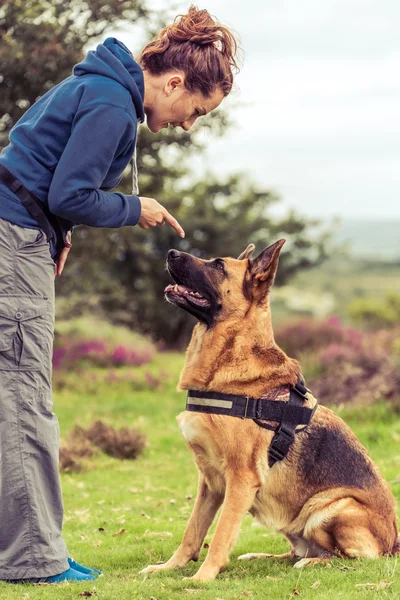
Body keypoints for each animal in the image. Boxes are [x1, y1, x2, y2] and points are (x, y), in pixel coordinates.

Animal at [141, 239, 396, 580]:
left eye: (218, 265)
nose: (170, 252)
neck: (230, 356)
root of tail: (394, 543)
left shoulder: (241, 478)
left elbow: (220, 534)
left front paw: (202, 577)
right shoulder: (210, 482)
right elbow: (192, 532)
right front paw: (170, 567)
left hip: (330, 506)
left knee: (350, 557)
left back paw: (314, 562)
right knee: (298, 550)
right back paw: (264, 556)